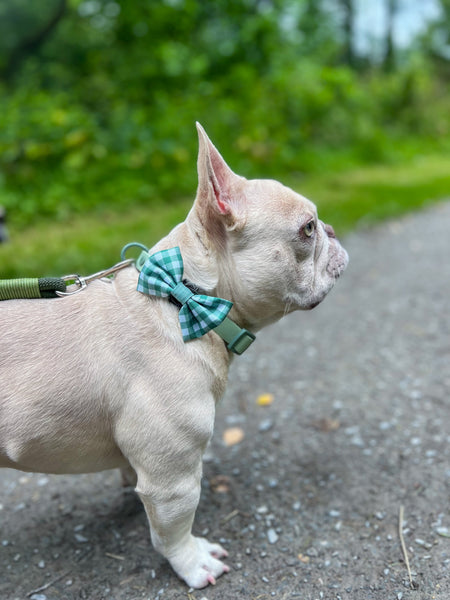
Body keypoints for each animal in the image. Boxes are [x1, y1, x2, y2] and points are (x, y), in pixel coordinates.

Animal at [0, 122, 348, 584]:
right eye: (308, 229)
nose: (331, 229)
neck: (183, 297)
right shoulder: (173, 481)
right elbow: (174, 529)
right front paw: (193, 563)